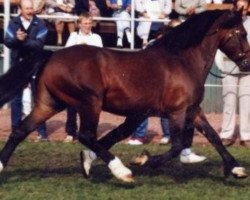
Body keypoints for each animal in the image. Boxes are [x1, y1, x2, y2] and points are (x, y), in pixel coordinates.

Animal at [0, 8, 250, 182]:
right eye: (242, 32)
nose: (246, 63)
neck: (183, 60)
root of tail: (51, 56)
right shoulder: (176, 111)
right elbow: (177, 145)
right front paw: (146, 160)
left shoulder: (192, 110)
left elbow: (213, 136)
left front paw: (236, 168)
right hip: (89, 102)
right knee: (86, 135)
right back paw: (122, 172)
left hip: (50, 104)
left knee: (20, 130)